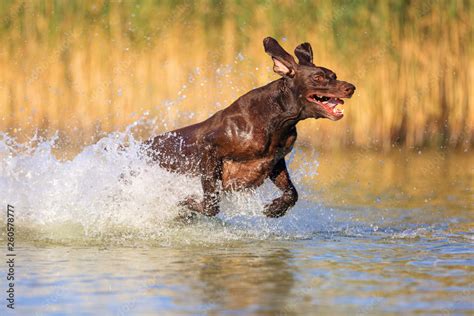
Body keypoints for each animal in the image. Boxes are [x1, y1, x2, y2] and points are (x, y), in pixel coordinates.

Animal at [145, 37, 356, 218]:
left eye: (334, 75)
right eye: (318, 78)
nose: (351, 88)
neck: (278, 119)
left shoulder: (275, 161)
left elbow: (292, 193)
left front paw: (276, 208)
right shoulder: (209, 148)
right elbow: (211, 203)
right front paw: (185, 204)